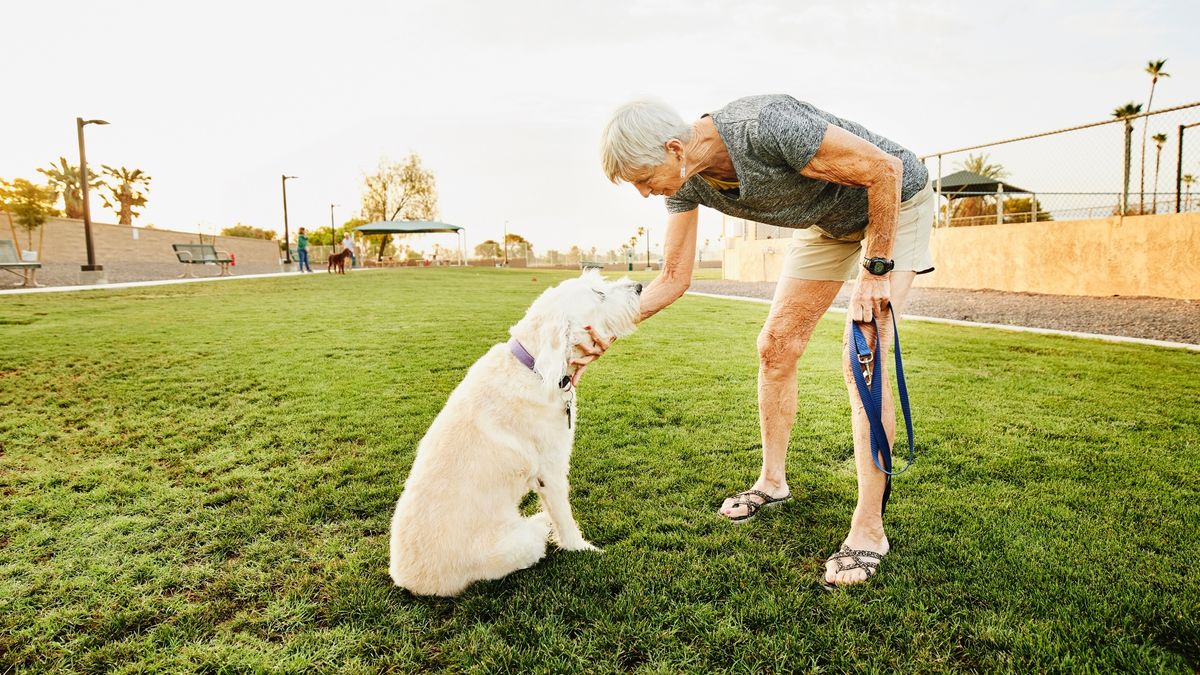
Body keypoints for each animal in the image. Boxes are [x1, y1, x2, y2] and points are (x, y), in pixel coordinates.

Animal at [388, 267, 643, 593]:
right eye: (598, 294)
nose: (639, 286)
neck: (532, 367)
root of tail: (408, 581)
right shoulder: (551, 471)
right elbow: (564, 517)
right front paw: (582, 547)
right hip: (520, 545)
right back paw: (539, 523)